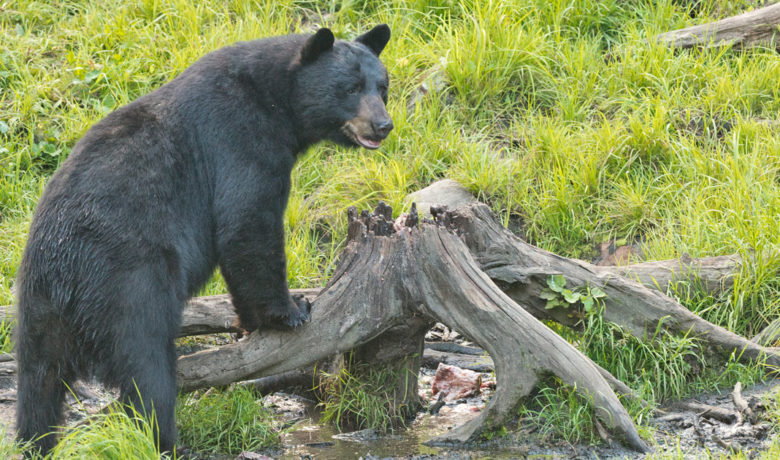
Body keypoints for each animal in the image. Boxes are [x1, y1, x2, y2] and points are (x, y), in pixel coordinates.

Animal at [15, 24, 392, 455]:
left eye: (382, 86)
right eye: (349, 88)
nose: (383, 125)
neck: (277, 101)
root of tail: (64, 279)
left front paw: (251, 322)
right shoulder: (241, 139)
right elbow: (248, 223)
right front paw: (291, 310)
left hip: (37, 311)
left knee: (38, 383)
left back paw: (36, 441)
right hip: (128, 284)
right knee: (147, 368)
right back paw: (166, 441)